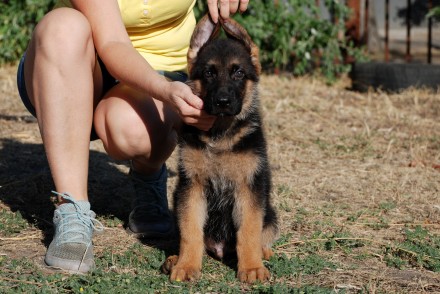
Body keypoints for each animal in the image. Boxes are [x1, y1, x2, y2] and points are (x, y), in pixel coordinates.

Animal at [162, 14, 278, 282]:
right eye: (209, 73)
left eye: (238, 73)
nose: (223, 102)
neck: (221, 135)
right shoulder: (191, 187)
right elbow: (190, 231)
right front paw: (186, 265)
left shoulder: (249, 187)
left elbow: (249, 231)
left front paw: (252, 268)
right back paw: (174, 259)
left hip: (271, 213)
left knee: (263, 233)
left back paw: (263, 253)